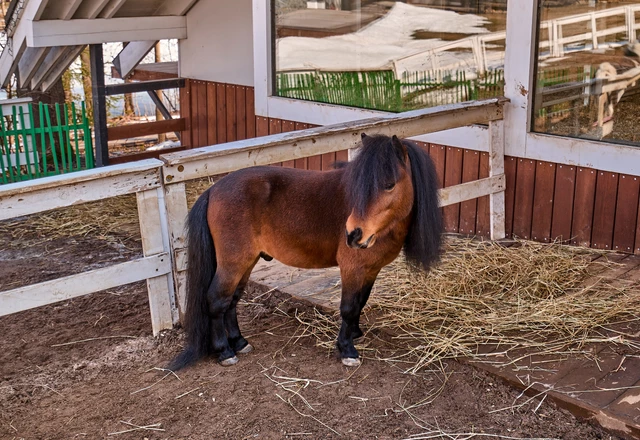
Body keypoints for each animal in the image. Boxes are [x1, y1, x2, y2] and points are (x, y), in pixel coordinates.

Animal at [168, 132, 442, 370]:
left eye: (389, 184)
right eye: (358, 186)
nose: (353, 234)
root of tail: (213, 189)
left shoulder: (371, 270)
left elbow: (360, 303)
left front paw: (355, 333)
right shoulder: (352, 268)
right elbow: (348, 307)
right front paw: (346, 349)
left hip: (246, 262)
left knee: (231, 301)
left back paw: (239, 342)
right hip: (233, 263)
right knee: (217, 300)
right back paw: (225, 351)